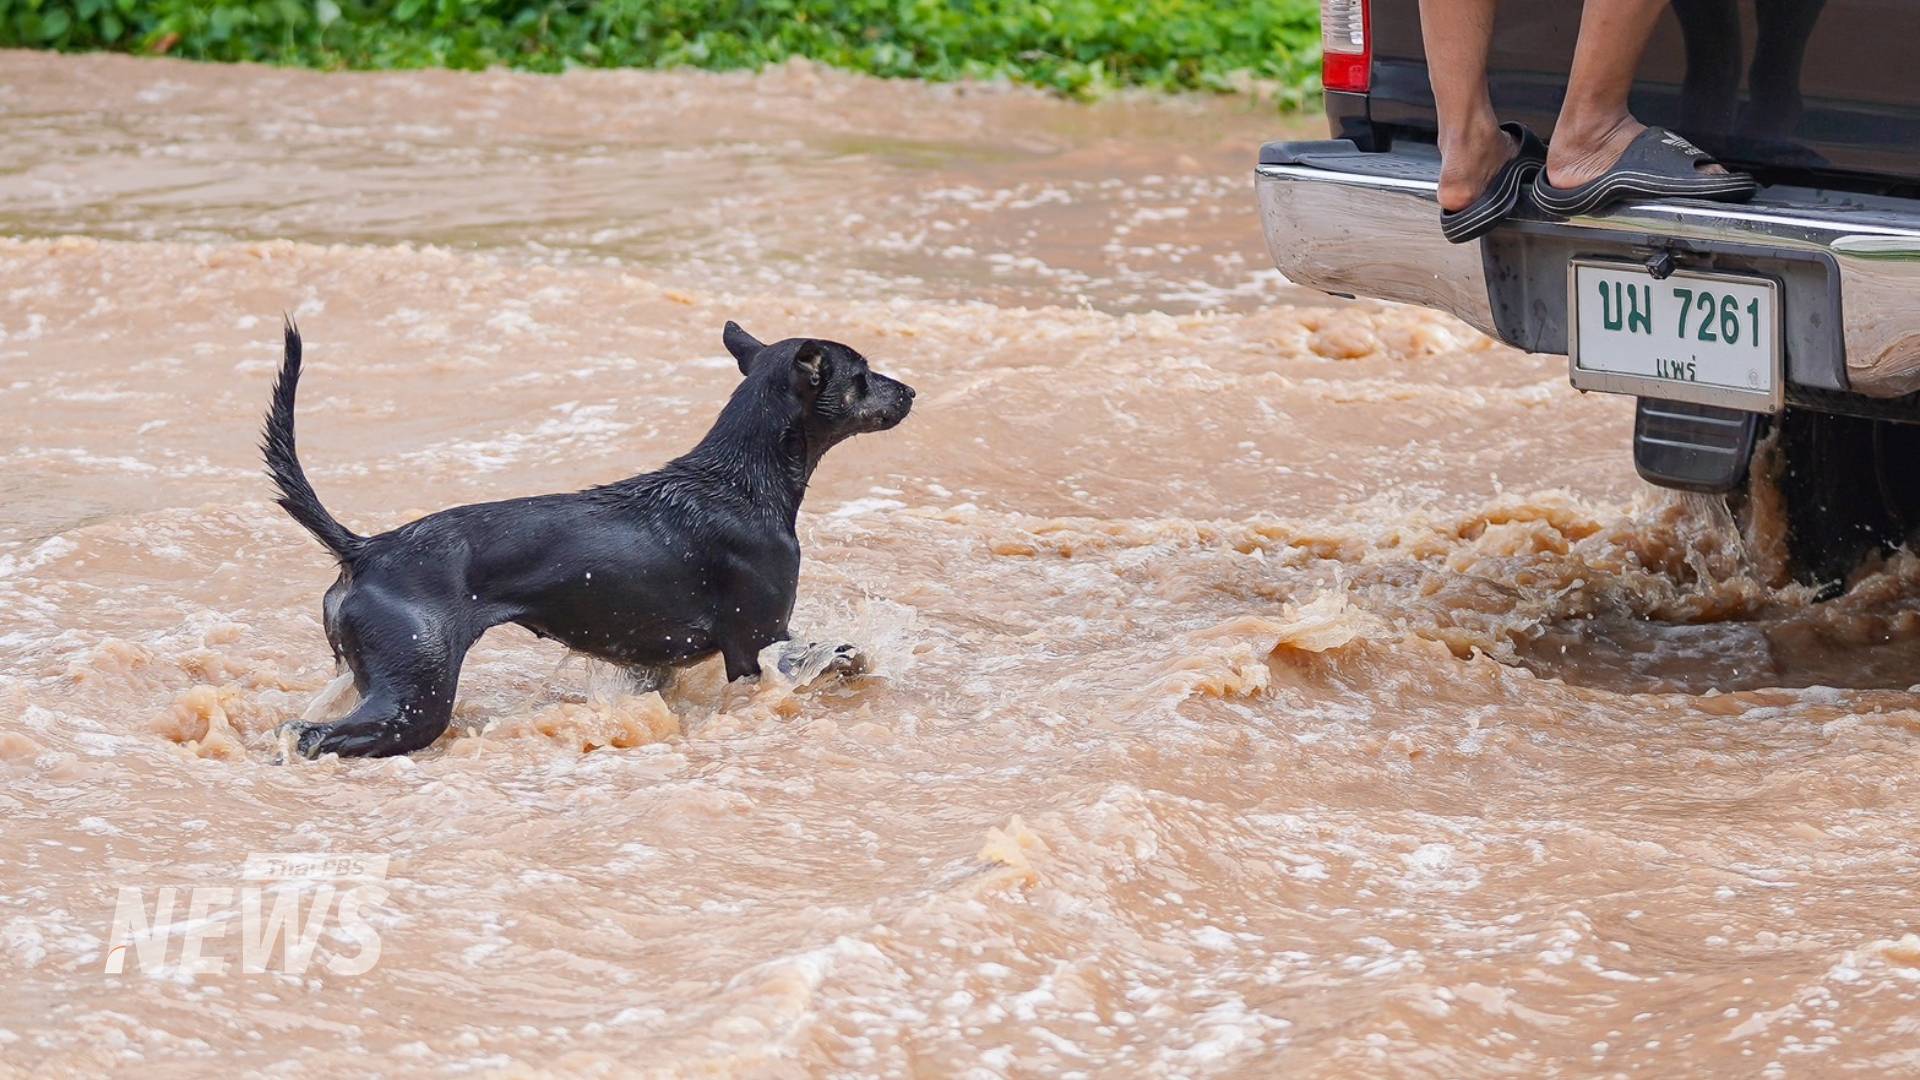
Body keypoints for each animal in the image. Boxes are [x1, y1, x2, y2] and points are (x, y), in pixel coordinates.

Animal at [263, 317, 913, 757]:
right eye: (861, 376)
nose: (909, 390)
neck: (742, 479)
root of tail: (366, 547)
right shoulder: (757, 644)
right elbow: (837, 652)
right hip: (413, 696)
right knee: (314, 734)